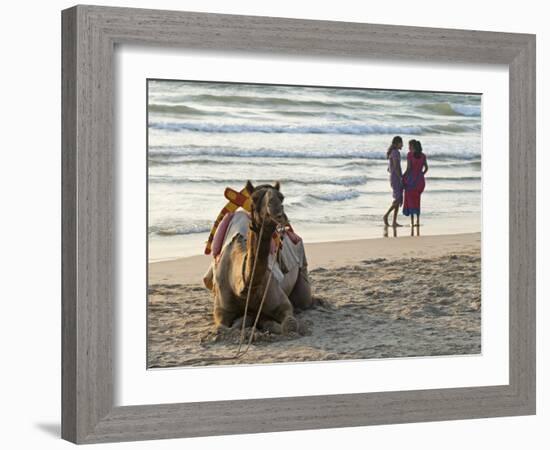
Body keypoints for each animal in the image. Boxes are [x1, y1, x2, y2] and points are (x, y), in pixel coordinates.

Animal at [204, 182, 316, 334]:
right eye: (254, 198)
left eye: (281, 197)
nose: (277, 212)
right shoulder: (221, 309)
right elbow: (221, 328)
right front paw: (247, 321)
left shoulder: (282, 303)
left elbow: (289, 325)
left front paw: (263, 322)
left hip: (303, 267)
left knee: (304, 301)